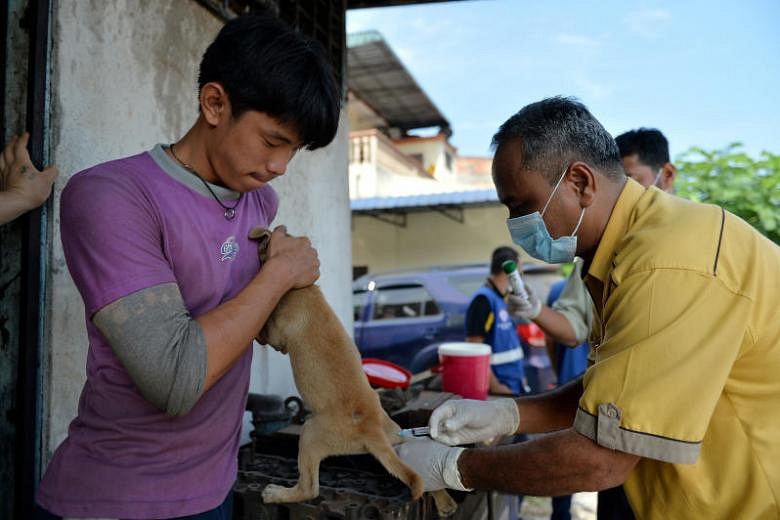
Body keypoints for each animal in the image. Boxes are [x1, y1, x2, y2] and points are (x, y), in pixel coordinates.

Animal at [251, 226, 444, 508]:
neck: (303, 287)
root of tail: (373, 431)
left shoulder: (279, 334)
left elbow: (266, 331)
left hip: (310, 433)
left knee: (309, 488)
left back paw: (276, 494)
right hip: (394, 435)